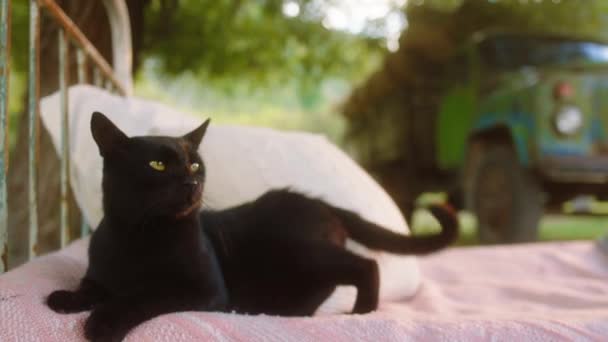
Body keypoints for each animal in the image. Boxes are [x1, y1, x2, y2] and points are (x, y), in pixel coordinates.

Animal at [46, 112, 456, 342]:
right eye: (157, 165)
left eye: (195, 165)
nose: (192, 183)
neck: (138, 234)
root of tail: (317, 201)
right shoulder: (101, 273)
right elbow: (91, 287)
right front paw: (65, 298)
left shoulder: (203, 290)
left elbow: (140, 297)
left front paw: (103, 323)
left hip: (304, 253)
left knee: (365, 266)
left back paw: (361, 314)